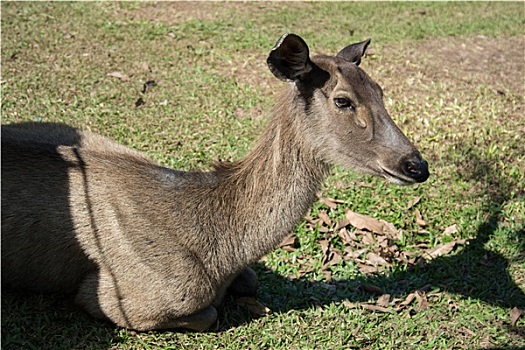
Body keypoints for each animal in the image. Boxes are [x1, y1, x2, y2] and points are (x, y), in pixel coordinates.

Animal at [2, 34, 428, 332]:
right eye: (343, 100)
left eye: (380, 90)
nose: (416, 165)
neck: (220, 248)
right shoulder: (122, 296)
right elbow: (208, 313)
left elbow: (251, 280)